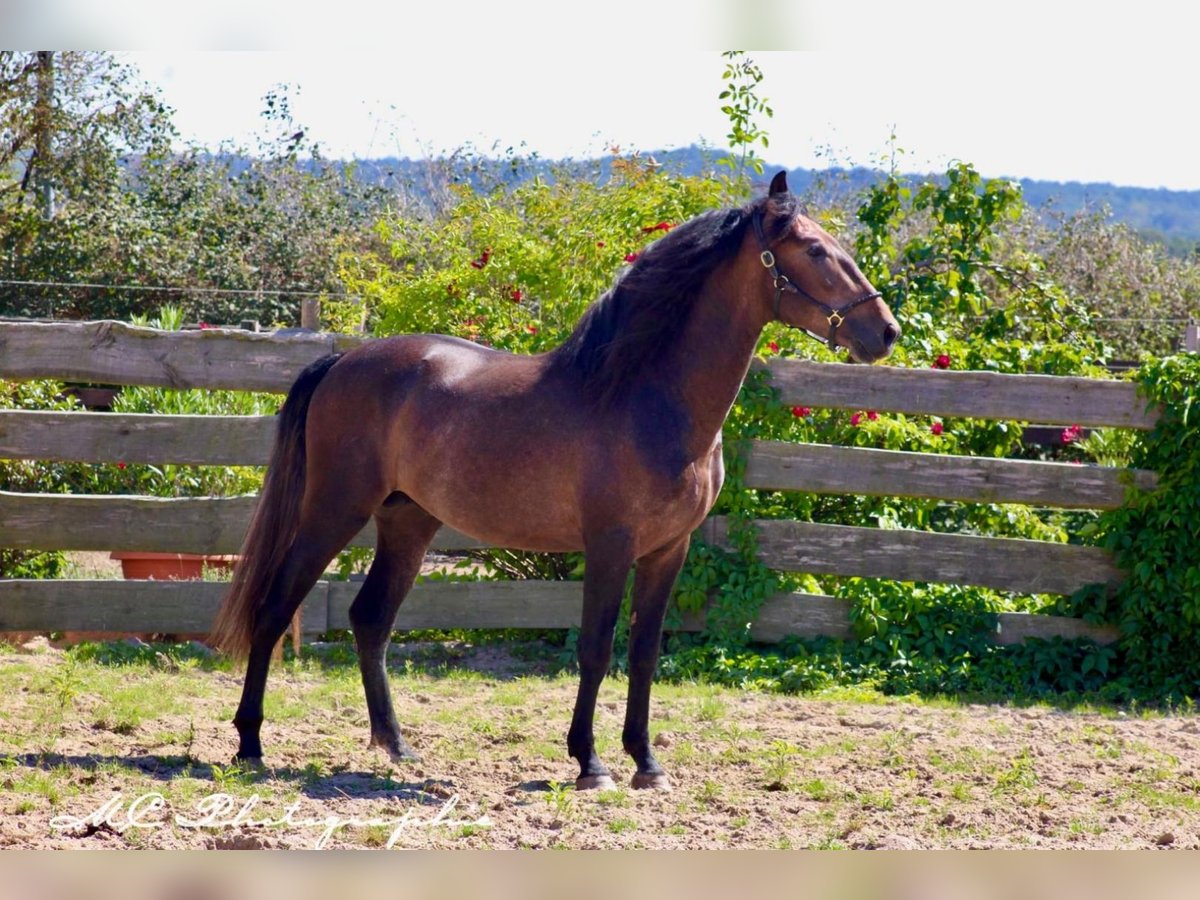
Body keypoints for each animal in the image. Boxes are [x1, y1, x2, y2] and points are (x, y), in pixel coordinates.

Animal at [208, 169, 902, 787]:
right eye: (815, 250)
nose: (886, 332)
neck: (646, 396)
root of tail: (341, 360)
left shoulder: (668, 551)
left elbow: (645, 653)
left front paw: (647, 763)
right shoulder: (610, 546)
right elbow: (595, 648)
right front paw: (590, 763)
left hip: (408, 521)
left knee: (371, 619)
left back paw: (396, 746)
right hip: (334, 510)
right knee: (275, 608)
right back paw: (250, 745)